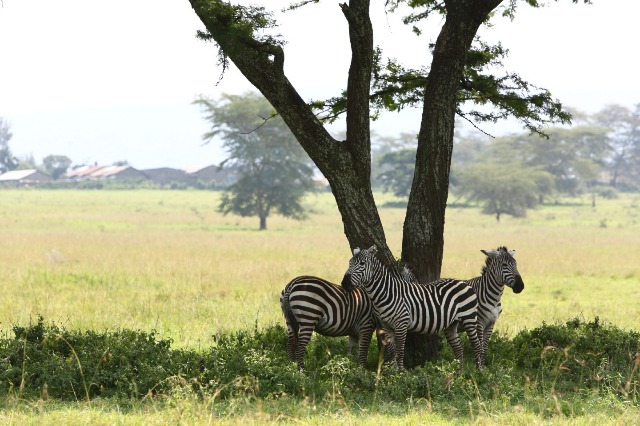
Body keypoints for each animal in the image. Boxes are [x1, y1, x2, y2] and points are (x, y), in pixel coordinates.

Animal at [342, 245, 482, 372]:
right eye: (349, 263)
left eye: (362, 263)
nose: (345, 284)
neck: (387, 293)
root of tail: (462, 282)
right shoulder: (386, 326)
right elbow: (392, 352)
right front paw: (392, 374)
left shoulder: (401, 324)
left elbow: (400, 351)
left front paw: (401, 374)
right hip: (451, 324)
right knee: (459, 347)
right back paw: (459, 374)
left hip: (469, 318)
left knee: (476, 345)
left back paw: (479, 373)